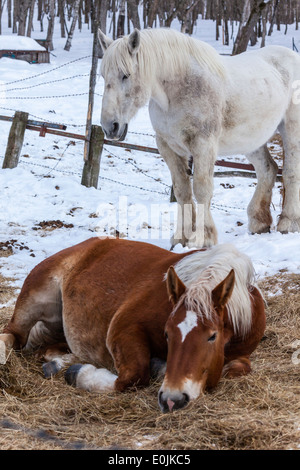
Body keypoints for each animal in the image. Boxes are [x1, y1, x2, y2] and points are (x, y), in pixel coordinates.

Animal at [0, 239, 264, 412]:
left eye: (212, 336)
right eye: (167, 334)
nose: (173, 399)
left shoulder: (242, 355)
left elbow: (237, 368)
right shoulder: (123, 329)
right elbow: (132, 377)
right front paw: (80, 375)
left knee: (48, 349)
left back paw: (58, 362)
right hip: (35, 297)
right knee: (12, 335)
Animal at [97, 28, 298, 250]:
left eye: (126, 75)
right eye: (103, 75)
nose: (110, 127)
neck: (178, 91)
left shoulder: (203, 145)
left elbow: (201, 189)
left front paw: (203, 237)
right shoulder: (168, 147)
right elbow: (182, 190)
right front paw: (181, 237)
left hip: (291, 129)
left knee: (290, 172)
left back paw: (288, 223)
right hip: (251, 140)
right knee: (267, 170)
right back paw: (259, 223)